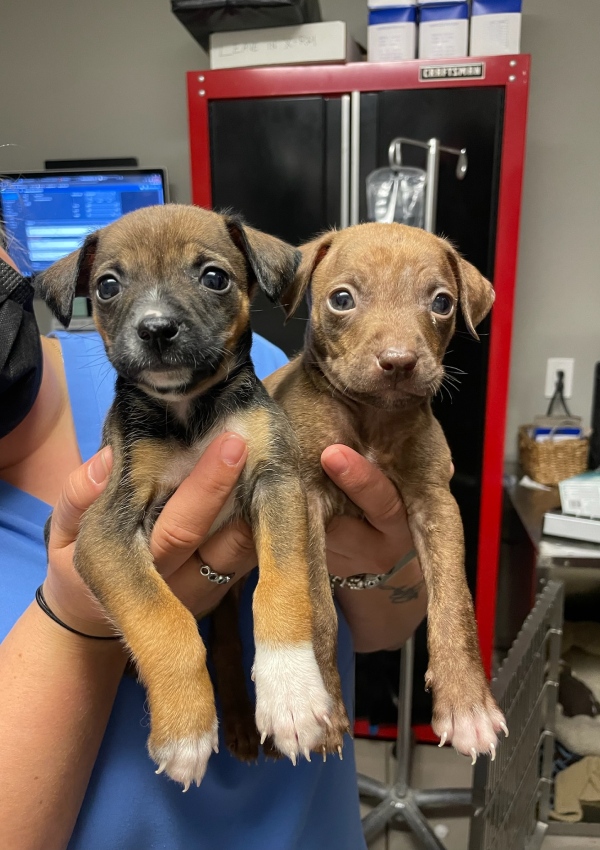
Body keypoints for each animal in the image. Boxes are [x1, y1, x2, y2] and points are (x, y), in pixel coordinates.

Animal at [35, 205, 350, 788]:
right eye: (107, 286)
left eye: (214, 277)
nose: (156, 328)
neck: (188, 414)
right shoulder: (106, 530)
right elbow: (163, 619)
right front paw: (185, 729)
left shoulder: (278, 483)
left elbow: (281, 590)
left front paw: (292, 694)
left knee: (227, 645)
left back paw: (249, 726)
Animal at [266, 222, 506, 760]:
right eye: (341, 299)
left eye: (441, 302)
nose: (399, 362)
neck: (373, 419)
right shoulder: (303, 499)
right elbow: (318, 608)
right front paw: (324, 711)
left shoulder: (436, 500)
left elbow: (454, 602)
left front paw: (467, 706)